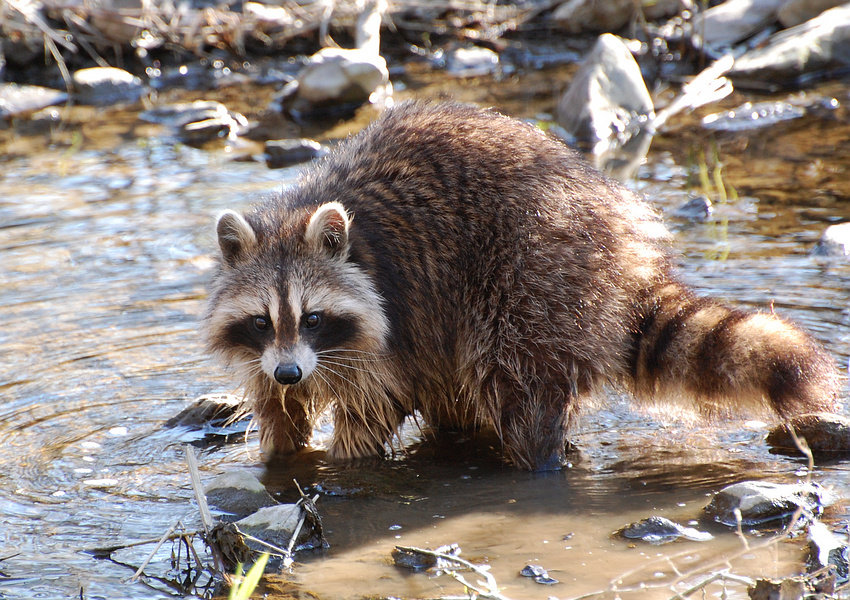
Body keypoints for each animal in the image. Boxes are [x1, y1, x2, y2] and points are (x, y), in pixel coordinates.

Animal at [203, 101, 840, 470]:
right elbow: (276, 407)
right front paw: (281, 451)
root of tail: (628, 238)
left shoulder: (387, 325)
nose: (291, 372)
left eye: (313, 316)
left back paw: (537, 459)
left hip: (539, 275)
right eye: (261, 319)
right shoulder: (270, 353)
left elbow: (373, 405)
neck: (298, 213)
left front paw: (345, 465)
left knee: (518, 381)